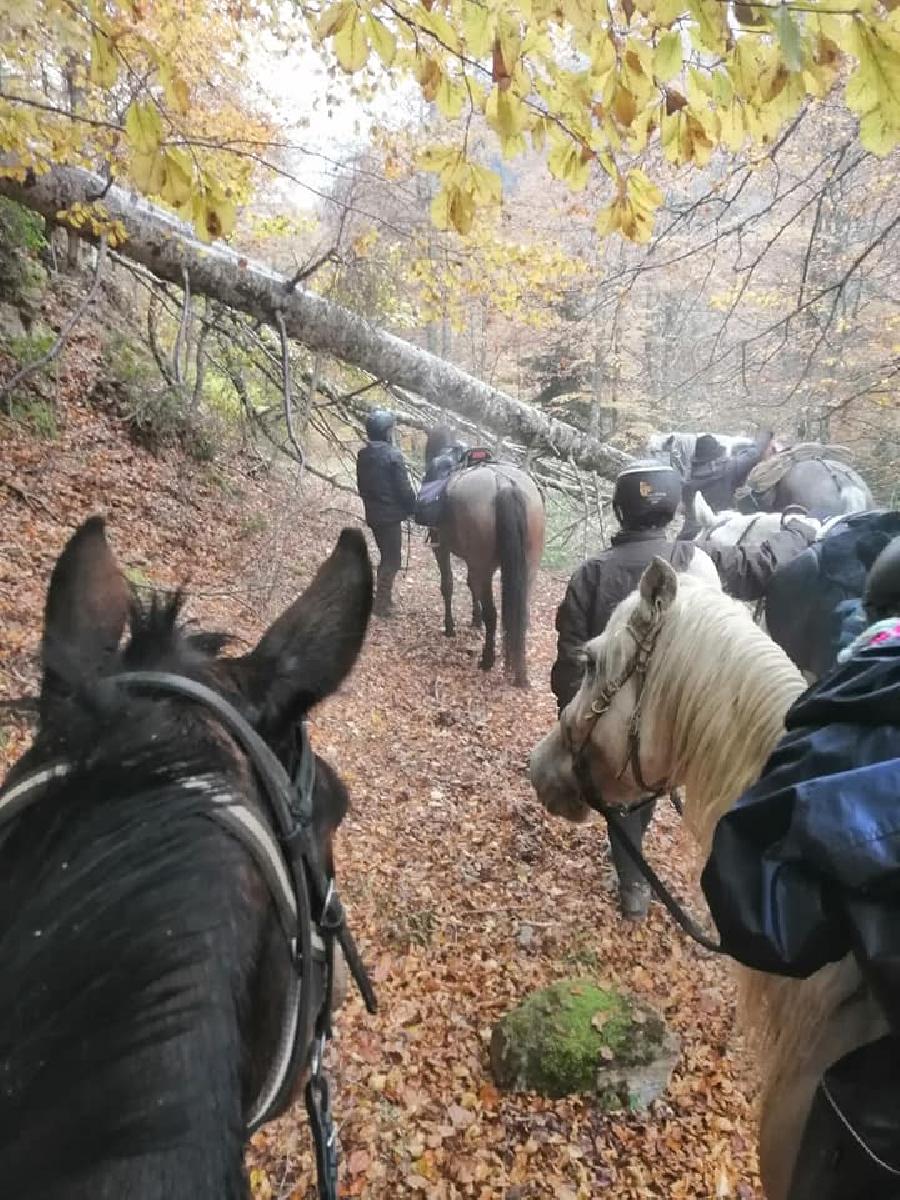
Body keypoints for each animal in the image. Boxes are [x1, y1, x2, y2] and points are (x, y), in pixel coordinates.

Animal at [427, 424, 547, 691]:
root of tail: (504, 484)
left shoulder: (442, 550)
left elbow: (447, 585)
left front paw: (450, 627)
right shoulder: (475, 564)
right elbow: (471, 587)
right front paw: (474, 621)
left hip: (483, 565)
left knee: (493, 613)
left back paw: (487, 660)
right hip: (528, 567)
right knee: (521, 615)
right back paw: (520, 673)